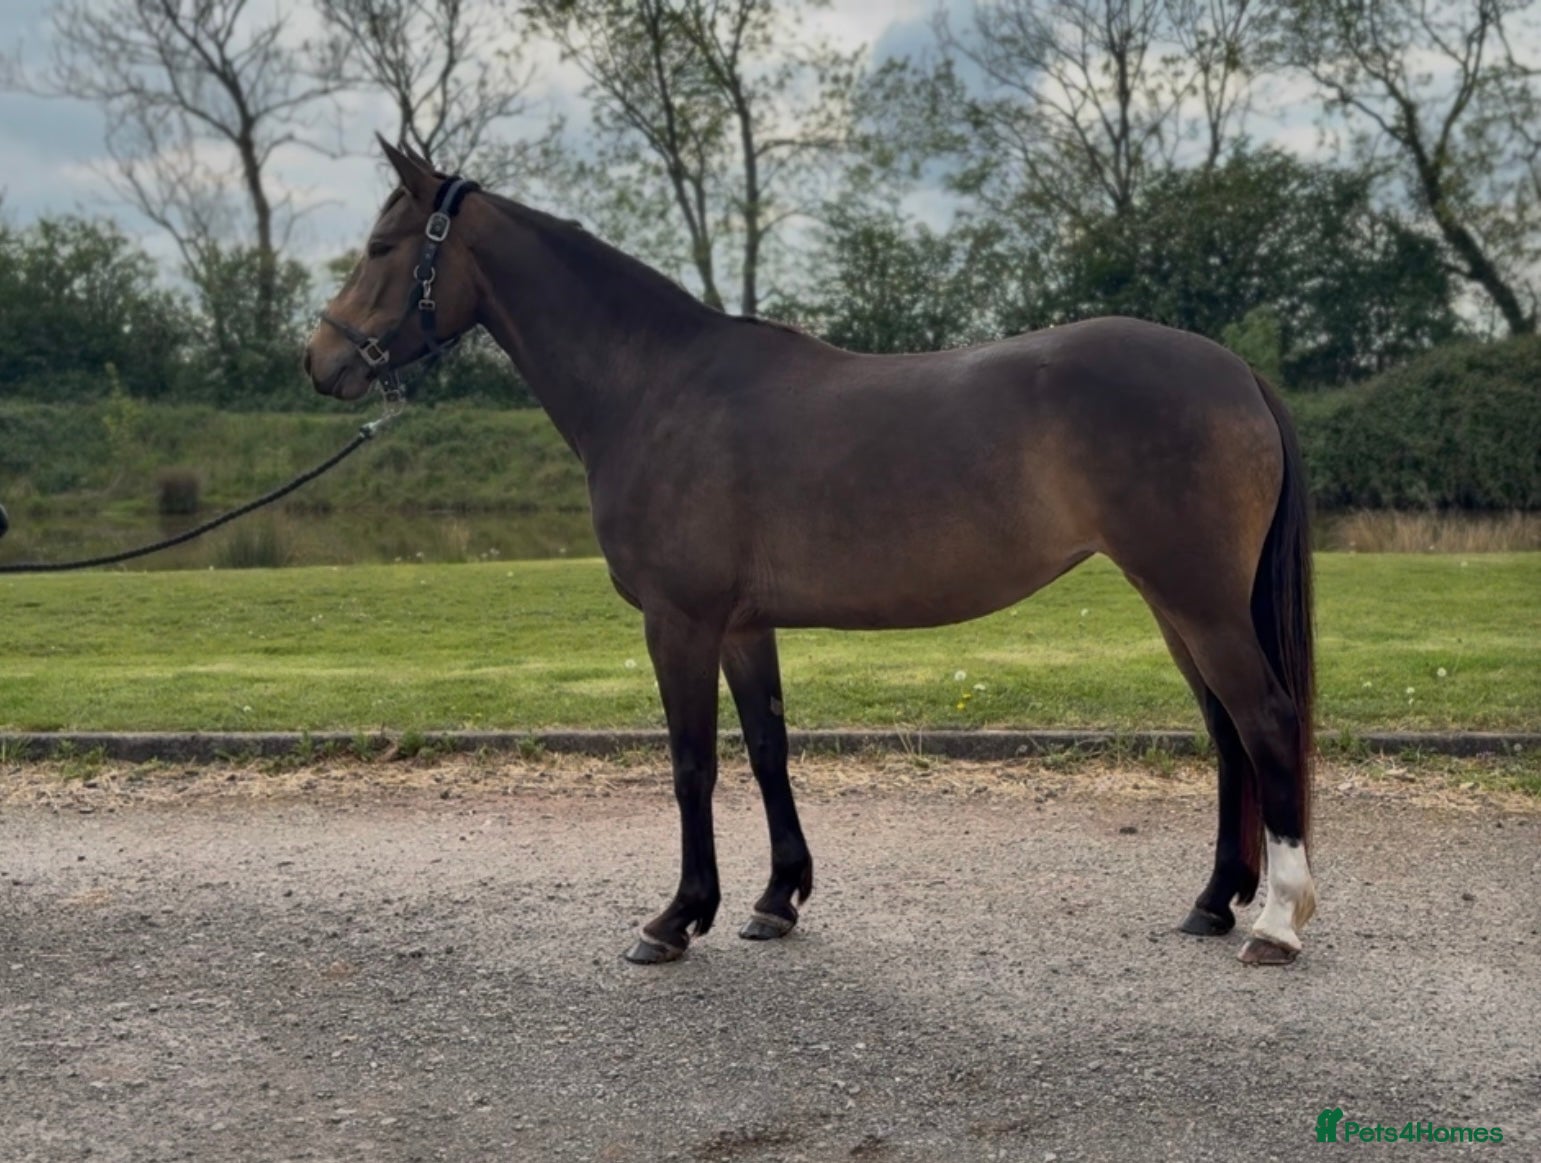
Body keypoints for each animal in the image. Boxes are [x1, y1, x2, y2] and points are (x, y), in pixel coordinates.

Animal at [304, 139, 1317, 968]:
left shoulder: (680, 622)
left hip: (1196, 599)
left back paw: (1275, 922)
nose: (321, 360)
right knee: (1226, 732)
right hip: (1176, 602)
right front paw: (774, 900)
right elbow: (766, 750)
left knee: (1264, 720)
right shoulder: (742, 626)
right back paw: (1212, 903)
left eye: (382, 247)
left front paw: (675, 918)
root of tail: (1232, 368)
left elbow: (692, 764)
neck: (655, 386)